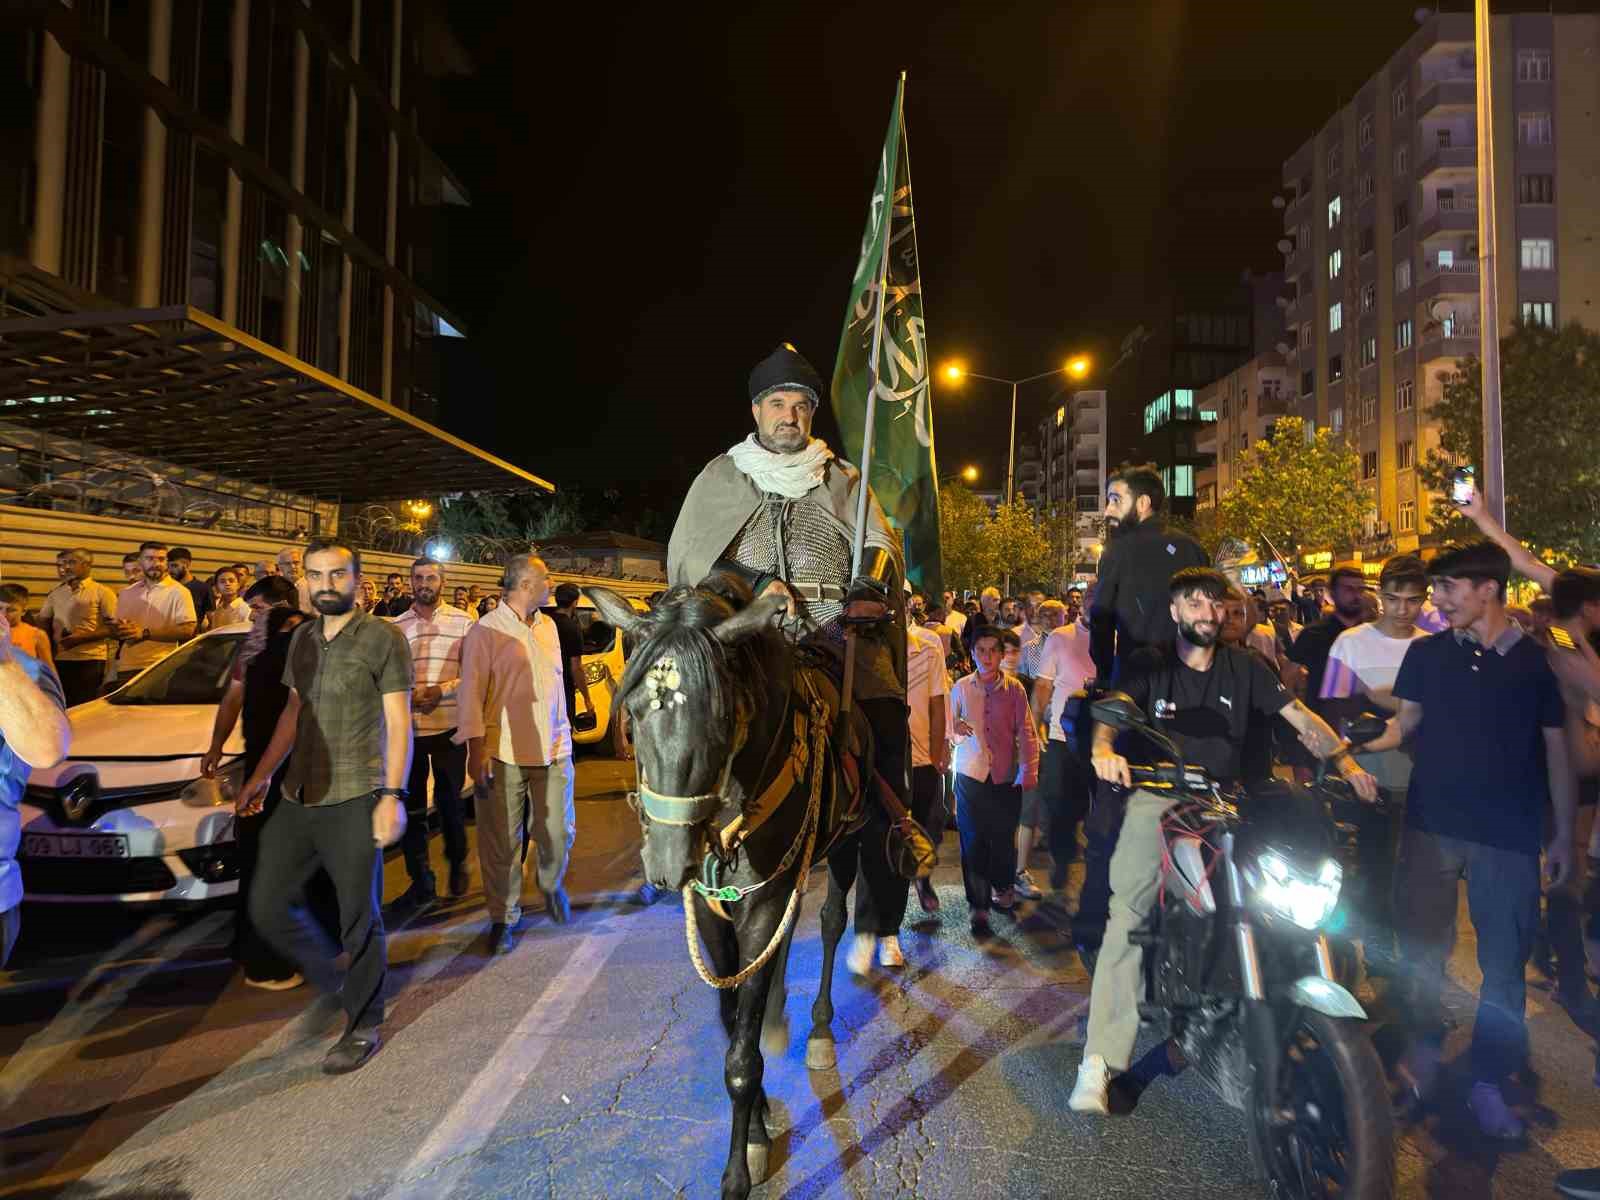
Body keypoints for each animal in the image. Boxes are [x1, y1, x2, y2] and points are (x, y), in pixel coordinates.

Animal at [585, 585, 864, 1200]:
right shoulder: (715, 915)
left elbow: (741, 1058)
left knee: (832, 921)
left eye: (721, 717)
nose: (668, 863)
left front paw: (738, 1170)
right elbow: (733, 1019)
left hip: (851, 840)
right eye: (633, 714)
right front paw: (758, 1123)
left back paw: (821, 1027)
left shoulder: (760, 906)